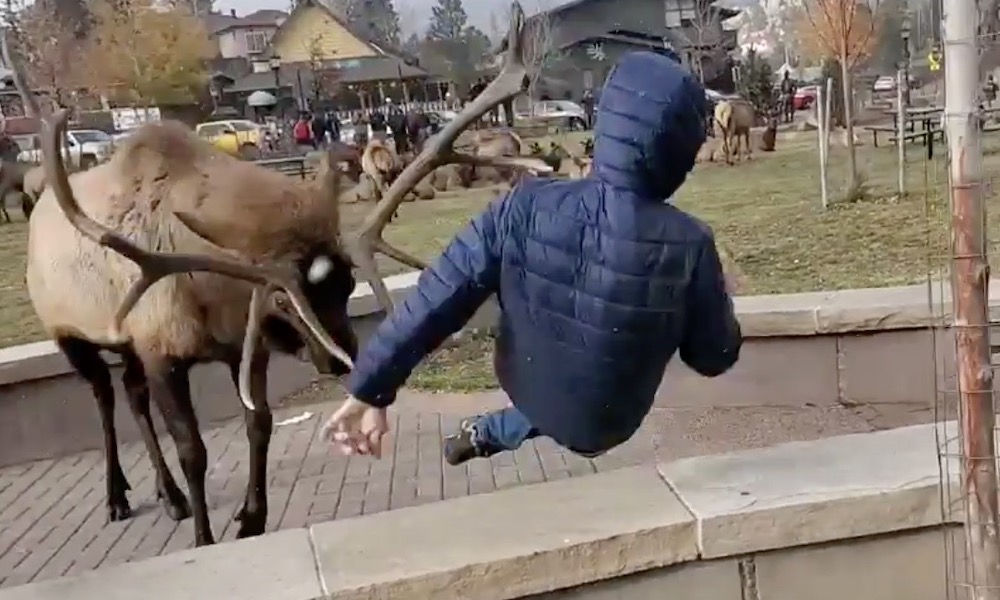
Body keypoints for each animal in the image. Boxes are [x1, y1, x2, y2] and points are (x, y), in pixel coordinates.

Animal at [1, 36, 356, 548]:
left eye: (348, 281)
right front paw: (205, 538)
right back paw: (117, 496)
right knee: (104, 398)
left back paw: (168, 494)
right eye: (282, 298)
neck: (215, 294)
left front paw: (251, 518)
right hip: (72, 335)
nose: (344, 357)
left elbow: (260, 424)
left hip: (126, 343)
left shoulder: (239, 349)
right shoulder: (162, 354)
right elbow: (193, 449)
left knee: (132, 395)